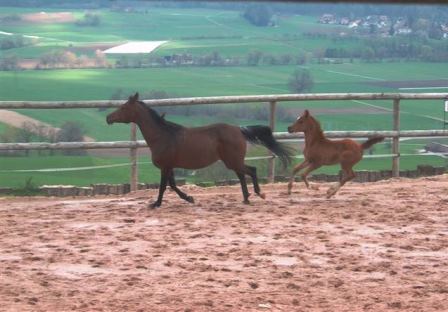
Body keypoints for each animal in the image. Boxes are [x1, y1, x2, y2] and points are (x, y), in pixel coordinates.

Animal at [106, 92, 294, 208]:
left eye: (123, 107)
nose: (108, 118)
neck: (163, 136)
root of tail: (239, 129)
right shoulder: (170, 166)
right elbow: (172, 185)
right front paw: (189, 198)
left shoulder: (165, 167)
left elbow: (164, 186)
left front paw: (156, 204)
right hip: (232, 161)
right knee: (242, 175)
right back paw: (246, 198)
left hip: (233, 160)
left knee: (251, 171)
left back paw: (259, 194)